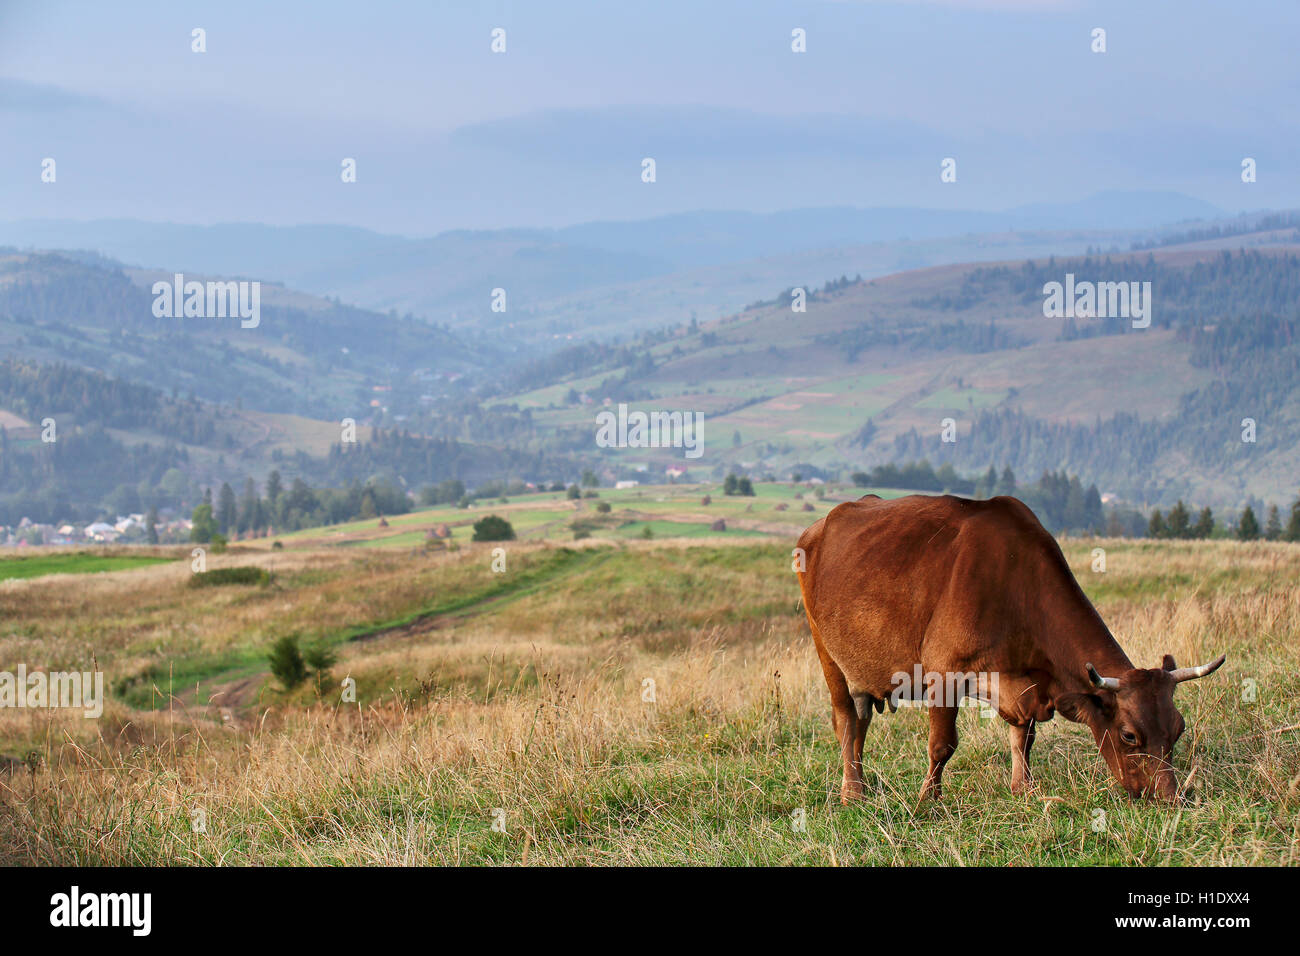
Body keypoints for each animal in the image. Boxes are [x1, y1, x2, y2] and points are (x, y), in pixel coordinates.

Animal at [796, 494, 1225, 803]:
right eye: (1129, 735)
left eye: (1178, 729)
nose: (1170, 798)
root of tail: (822, 523)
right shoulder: (943, 671)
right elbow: (942, 745)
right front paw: (928, 801)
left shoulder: (1028, 682)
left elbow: (1024, 737)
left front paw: (1024, 788)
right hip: (826, 651)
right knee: (846, 720)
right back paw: (852, 792)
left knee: (862, 719)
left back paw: (861, 784)